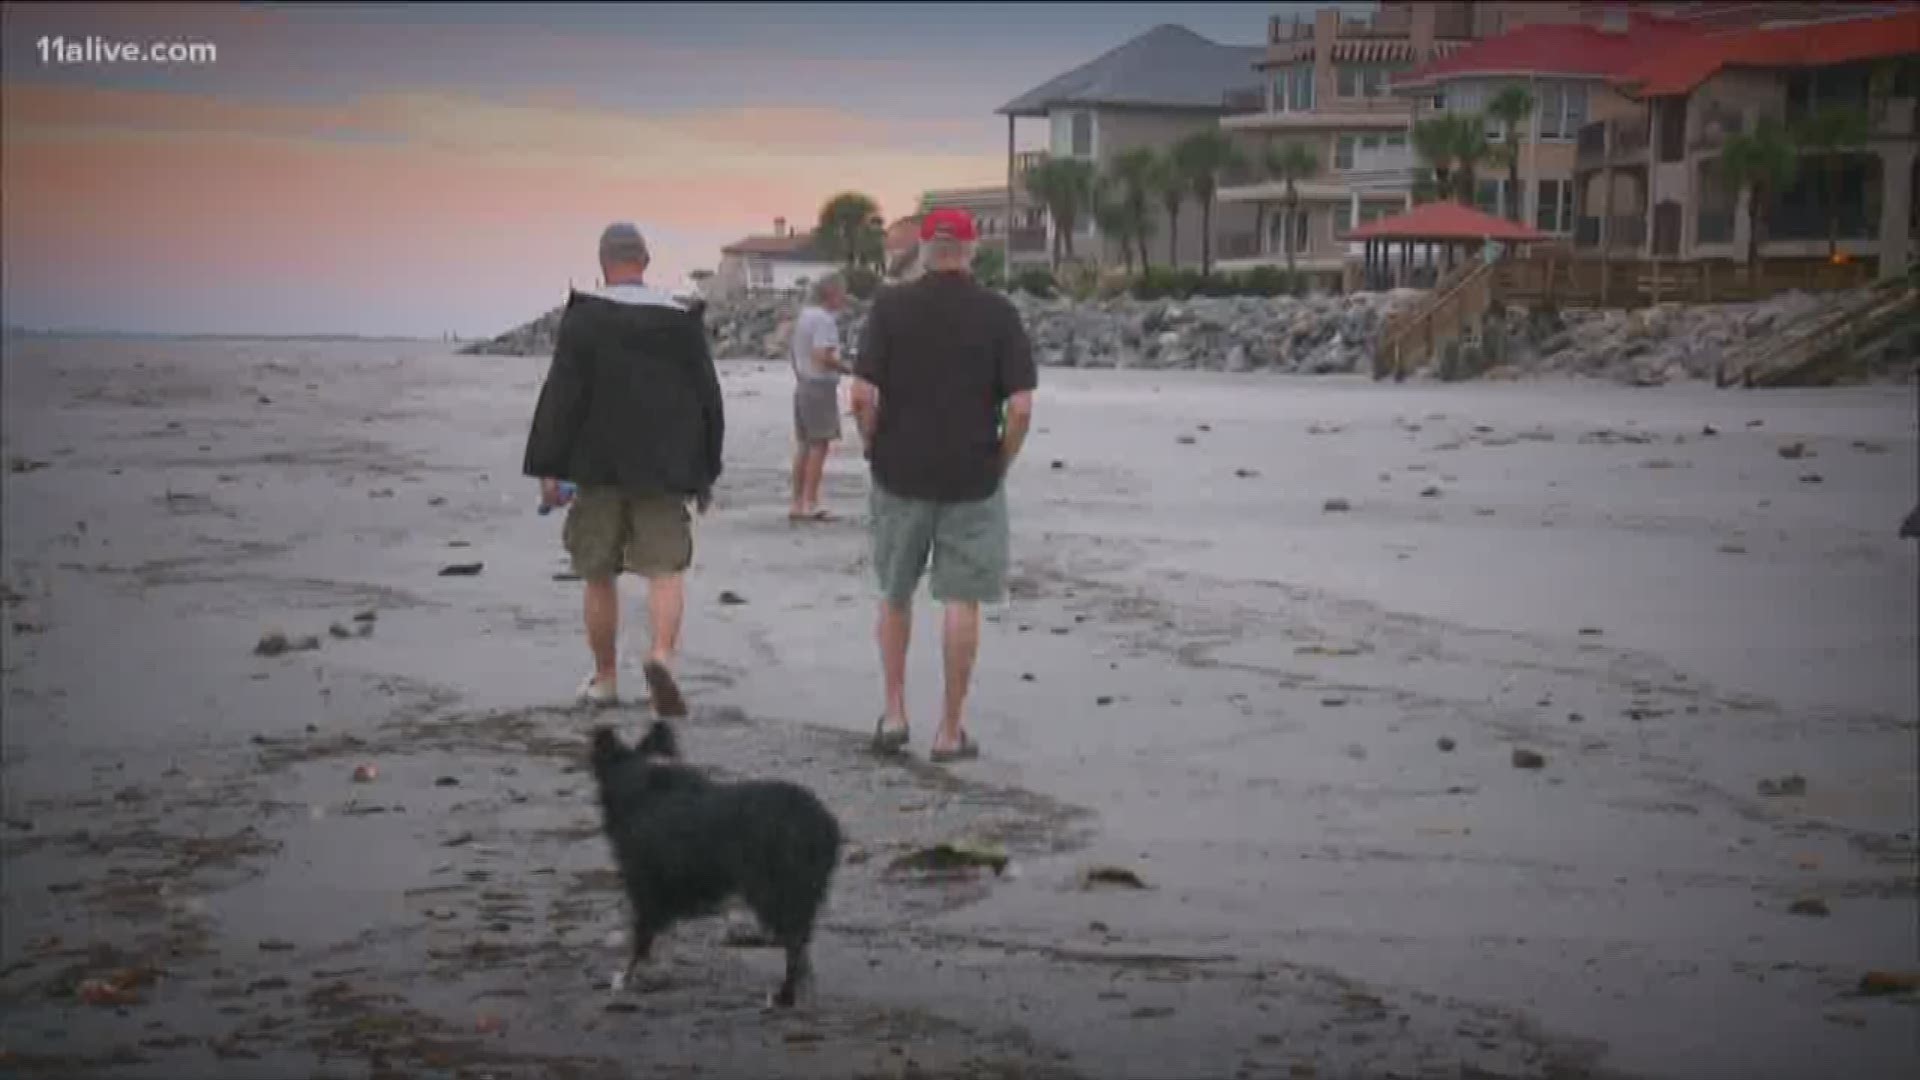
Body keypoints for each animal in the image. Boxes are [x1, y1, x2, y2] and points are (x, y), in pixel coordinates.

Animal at [587, 718, 837, 1006]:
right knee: (801, 942)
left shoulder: (645, 885)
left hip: (772, 889)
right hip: (801, 891)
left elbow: (642, 937)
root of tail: (819, 822)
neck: (641, 780)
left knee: (794, 941)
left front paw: (627, 977)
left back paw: (785, 995)